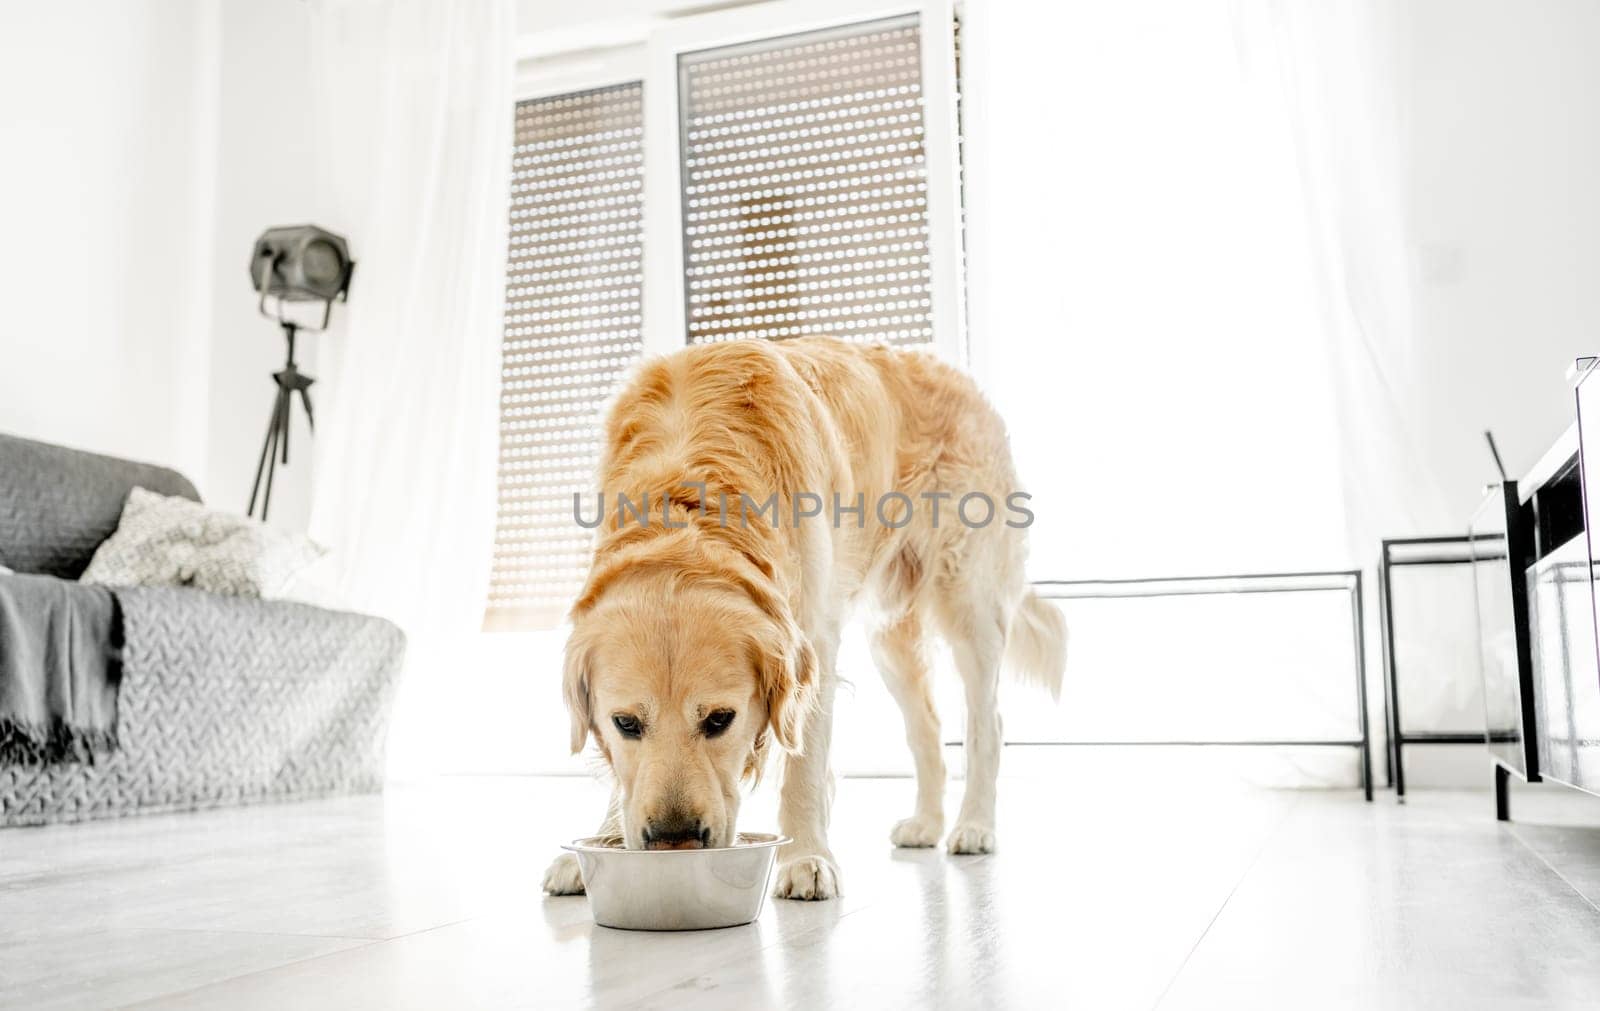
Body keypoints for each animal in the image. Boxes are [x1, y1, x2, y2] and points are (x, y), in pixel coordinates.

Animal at [537, 337, 1062, 902]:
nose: (675, 841)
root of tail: (955, 373)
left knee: (986, 722)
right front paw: (600, 843)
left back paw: (975, 825)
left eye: (720, 720)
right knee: (927, 727)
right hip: (890, 638)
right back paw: (926, 823)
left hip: (968, 597)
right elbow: (623, 775)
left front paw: (807, 857)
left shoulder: (814, 644)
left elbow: (804, 766)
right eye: (626, 723)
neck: (688, 503)